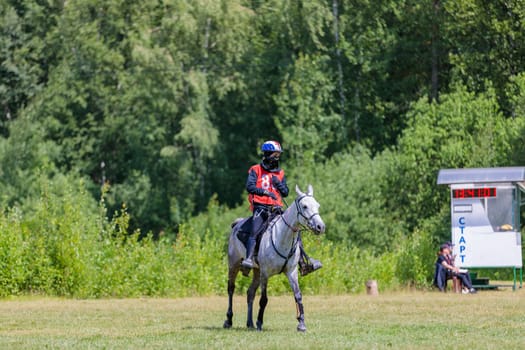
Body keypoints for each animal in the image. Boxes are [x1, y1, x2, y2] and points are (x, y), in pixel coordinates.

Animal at [221, 185, 324, 332]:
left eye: (317, 205)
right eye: (304, 206)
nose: (320, 227)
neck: (282, 237)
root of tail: (237, 224)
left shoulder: (291, 272)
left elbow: (298, 295)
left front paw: (301, 323)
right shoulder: (265, 273)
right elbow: (264, 299)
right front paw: (259, 323)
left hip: (256, 271)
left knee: (250, 292)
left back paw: (250, 323)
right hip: (234, 265)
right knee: (231, 289)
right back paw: (229, 320)